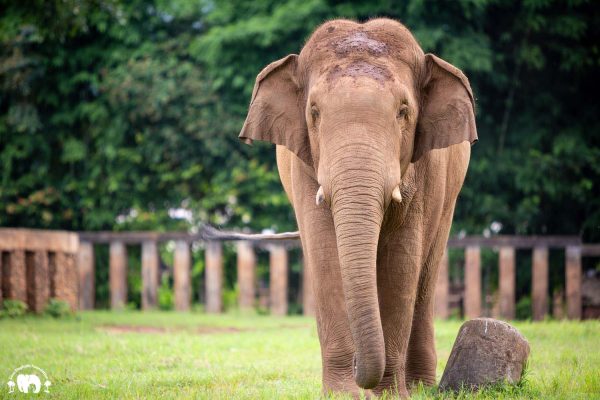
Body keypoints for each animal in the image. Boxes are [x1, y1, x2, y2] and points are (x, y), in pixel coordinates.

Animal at [237, 18, 476, 396]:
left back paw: (420, 388)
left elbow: (401, 261)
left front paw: (390, 395)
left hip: (449, 193)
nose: (356, 367)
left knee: (425, 276)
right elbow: (324, 253)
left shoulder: (425, 172)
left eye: (403, 112)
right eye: (314, 112)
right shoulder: (304, 167)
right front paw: (343, 394)